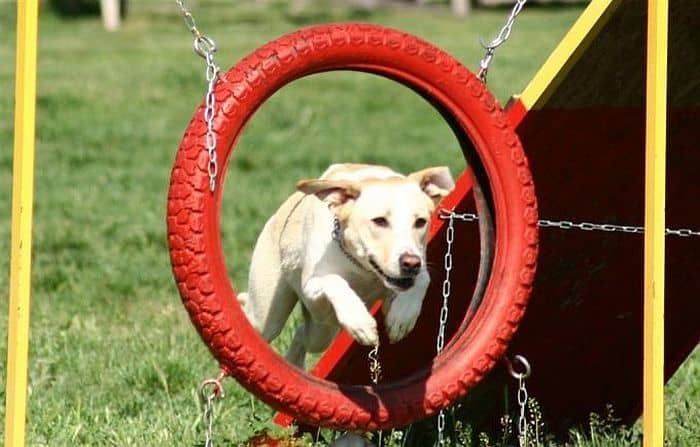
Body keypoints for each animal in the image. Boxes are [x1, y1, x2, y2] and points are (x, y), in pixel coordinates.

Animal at [238, 164, 456, 368]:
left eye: (420, 222)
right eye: (379, 221)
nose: (410, 263)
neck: (364, 270)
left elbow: (423, 279)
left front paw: (402, 318)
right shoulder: (311, 286)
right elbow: (334, 280)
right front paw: (361, 323)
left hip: (323, 329)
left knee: (302, 335)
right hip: (269, 316)